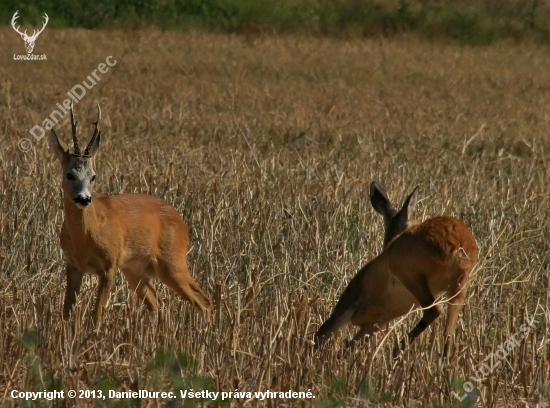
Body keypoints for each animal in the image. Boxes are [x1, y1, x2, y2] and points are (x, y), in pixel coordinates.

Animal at [48, 103, 212, 324]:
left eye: (93, 176)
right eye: (69, 174)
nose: (84, 198)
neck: (86, 237)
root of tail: (180, 220)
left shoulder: (109, 265)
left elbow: (97, 314)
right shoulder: (73, 265)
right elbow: (66, 312)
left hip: (172, 261)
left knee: (203, 300)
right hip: (135, 269)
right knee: (156, 301)